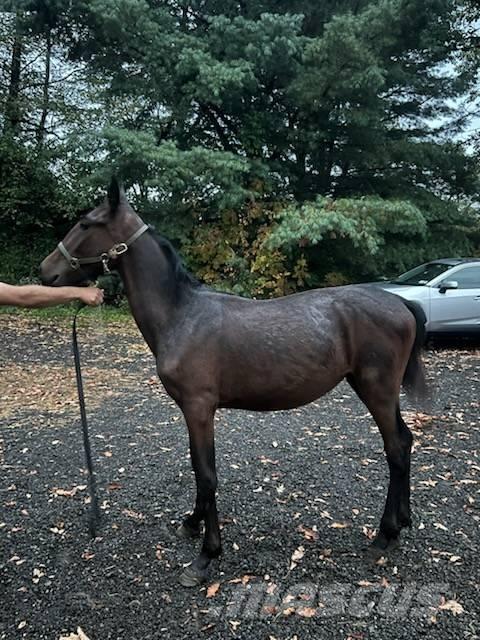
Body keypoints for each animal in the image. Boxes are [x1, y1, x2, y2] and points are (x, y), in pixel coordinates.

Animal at [40, 178, 427, 587]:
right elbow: (198, 469)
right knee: (405, 441)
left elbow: (206, 474)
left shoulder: (198, 408)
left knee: (395, 449)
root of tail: (401, 303)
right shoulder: (193, 411)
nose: (46, 271)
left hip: (376, 389)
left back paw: (384, 535)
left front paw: (205, 556)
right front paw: (191, 523)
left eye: (85, 223)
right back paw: (401, 523)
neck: (181, 315)